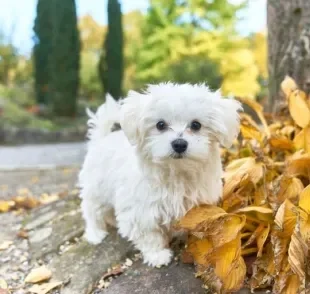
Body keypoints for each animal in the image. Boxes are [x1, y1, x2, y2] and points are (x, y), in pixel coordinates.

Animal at [78, 82, 242, 266]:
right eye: (160, 125)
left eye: (196, 125)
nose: (179, 144)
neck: (176, 173)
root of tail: (101, 139)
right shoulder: (141, 211)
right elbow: (149, 234)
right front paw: (157, 255)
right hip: (96, 190)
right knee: (91, 210)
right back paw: (95, 233)